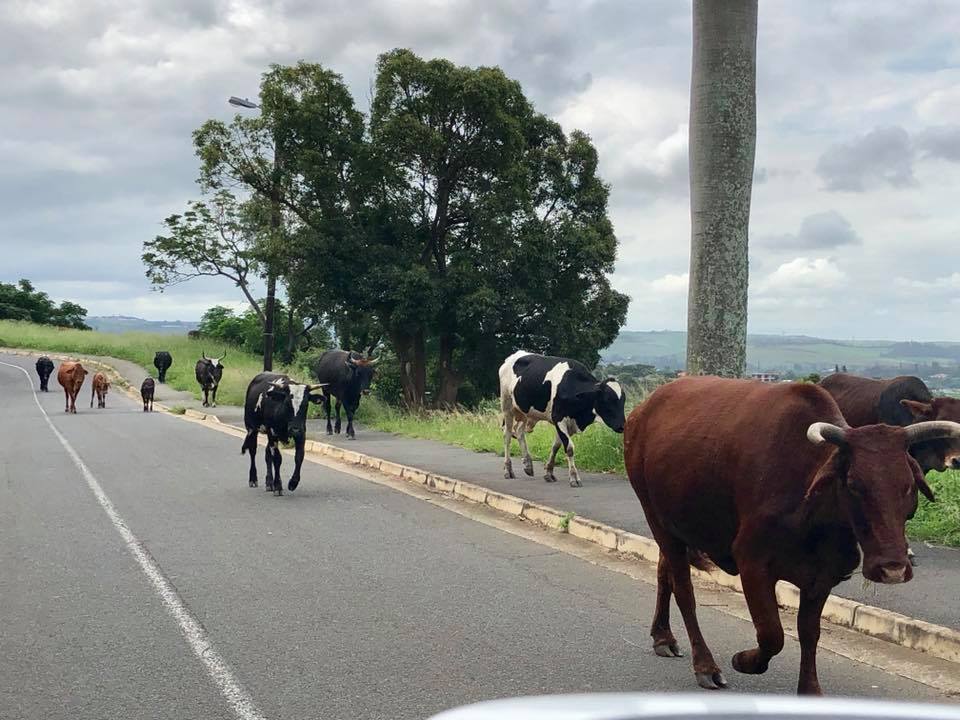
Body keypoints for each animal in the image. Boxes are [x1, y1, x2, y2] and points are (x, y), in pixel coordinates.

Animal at [498, 350, 628, 486]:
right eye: (607, 400)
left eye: (623, 401)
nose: (622, 426)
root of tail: (514, 355)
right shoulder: (559, 418)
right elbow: (569, 448)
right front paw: (574, 477)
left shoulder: (568, 424)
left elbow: (556, 446)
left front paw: (549, 472)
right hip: (507, 405)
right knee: (507, 436)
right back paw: (508, 470)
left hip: (524, 412)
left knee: (519, 431)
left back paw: (528, 465)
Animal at [620, 374, 956, 696]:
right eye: (853, 483)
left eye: (908, 485)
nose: (893, 568)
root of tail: (643, 410)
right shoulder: (752, 564)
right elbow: (772, 635)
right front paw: (744, 660)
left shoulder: (824, 576)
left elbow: (809, 633)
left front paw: (810, 689)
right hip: (657, 520)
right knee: (684, 592)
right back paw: (705, 666)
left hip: (674, 526)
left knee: (664, 573)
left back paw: (663, 637)